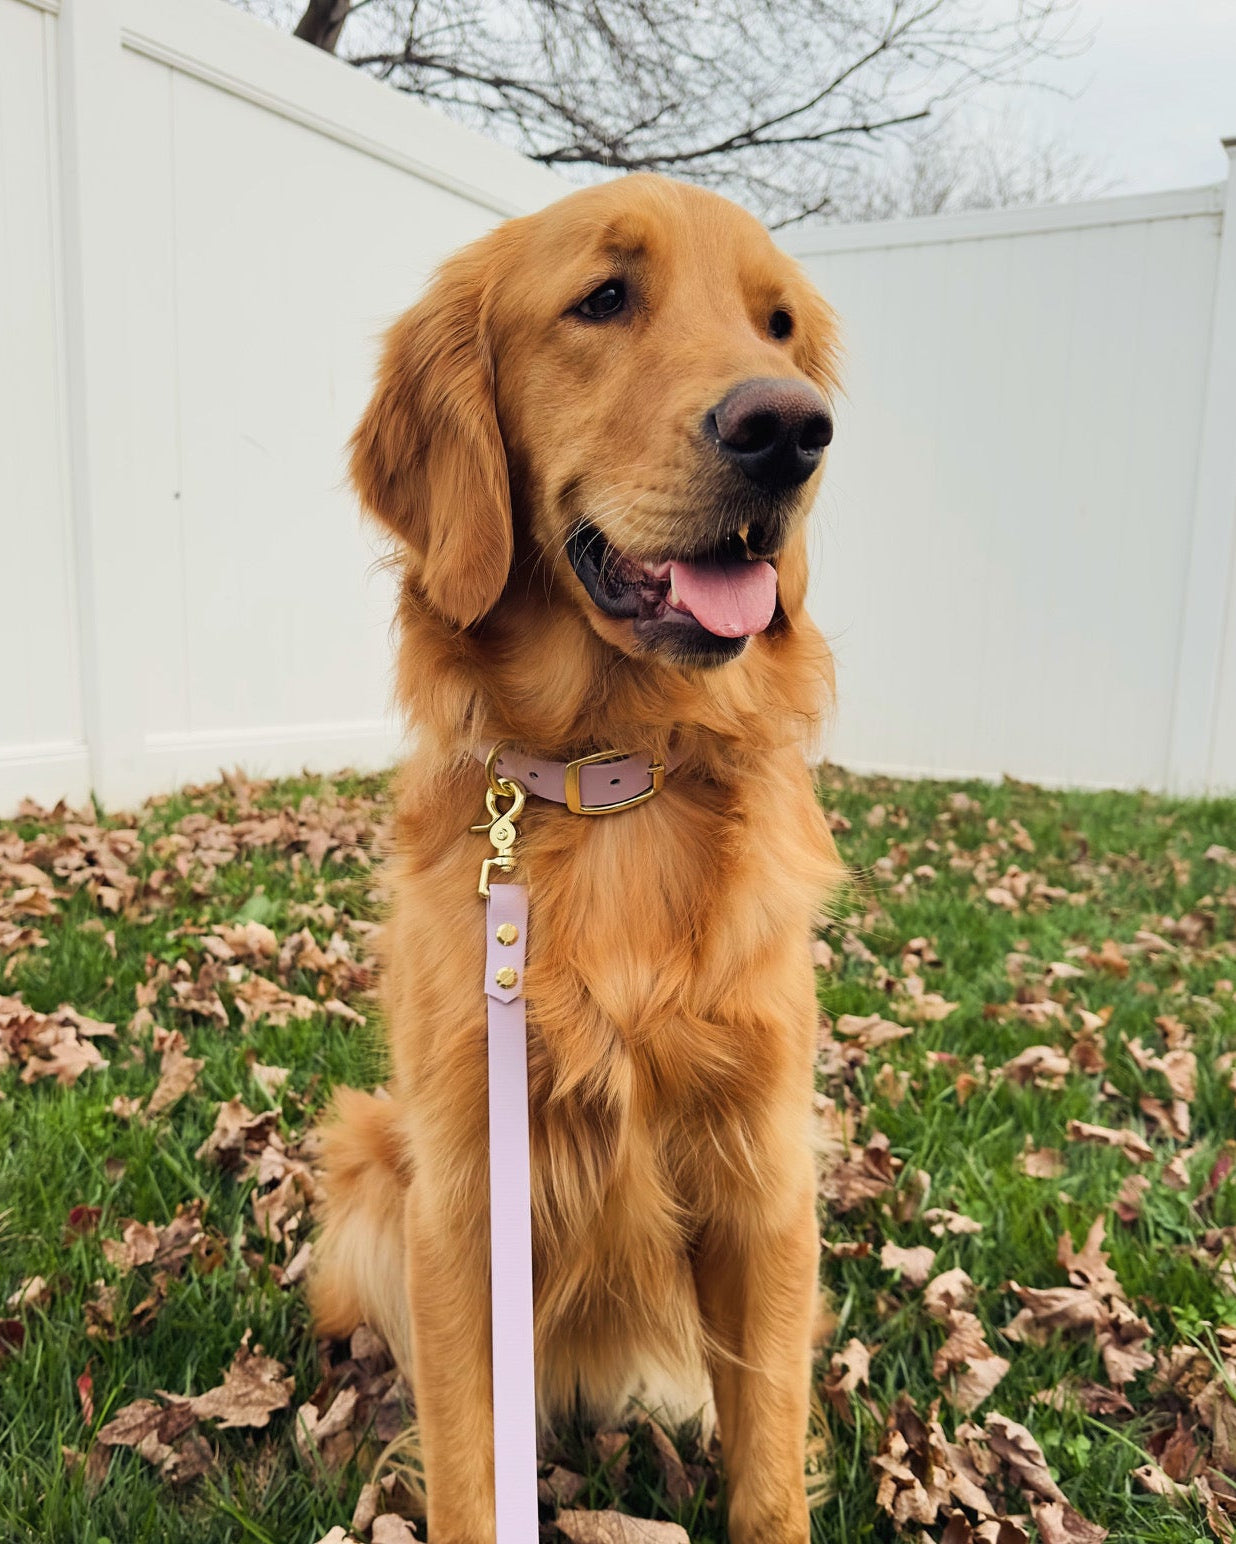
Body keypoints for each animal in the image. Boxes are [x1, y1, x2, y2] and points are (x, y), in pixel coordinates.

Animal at [313, 172, 845, 1544]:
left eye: (777, 325)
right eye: (604, 298)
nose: (791, 431)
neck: (615, 780)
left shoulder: (764, 1177)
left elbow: (770, 1464)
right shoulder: (463, 1195)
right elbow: (467, 1466)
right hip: (369, 1161)